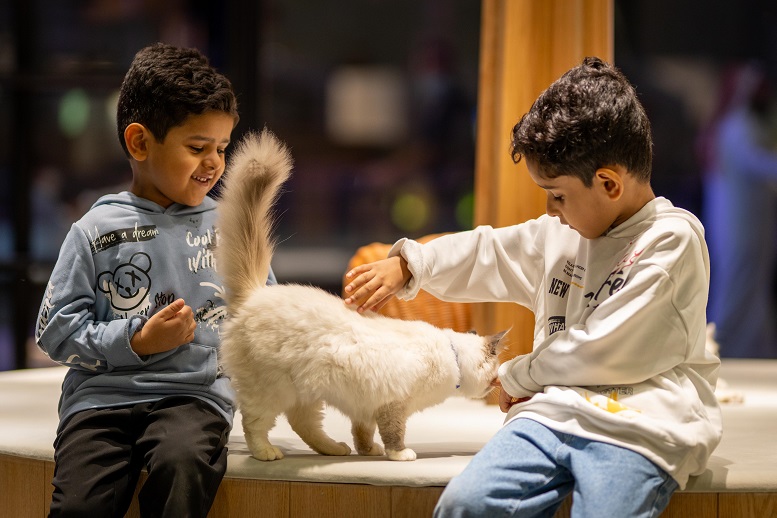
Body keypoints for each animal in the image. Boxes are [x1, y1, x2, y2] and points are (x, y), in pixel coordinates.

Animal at [215, 130, 506, 464]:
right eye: (494, 375)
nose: (497, 386)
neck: (452, 355)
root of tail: (257, 293)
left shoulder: (367, 408)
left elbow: (363, 433)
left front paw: (368, 451)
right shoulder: (393, 405)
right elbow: (394, 435)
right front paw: (400, 455)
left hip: (306, 394)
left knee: (304, 425)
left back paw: (334, 449)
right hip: (273, 391)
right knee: (255, 423)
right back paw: (267, 453)